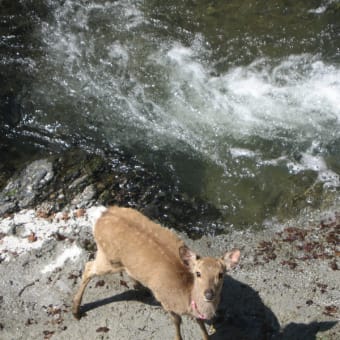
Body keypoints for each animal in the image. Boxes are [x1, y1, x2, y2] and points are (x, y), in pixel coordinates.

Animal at [72, 206, 240, 338]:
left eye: (221, 274)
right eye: (198, 273)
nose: (209, 294)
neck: (185, 296)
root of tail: (103, 214)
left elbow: (200, 322)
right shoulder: (165, 300)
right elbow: (177, 321)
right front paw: (178, 337)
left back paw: (139, 287)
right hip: (109, 258)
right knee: (88, 267)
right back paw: (75, 311)